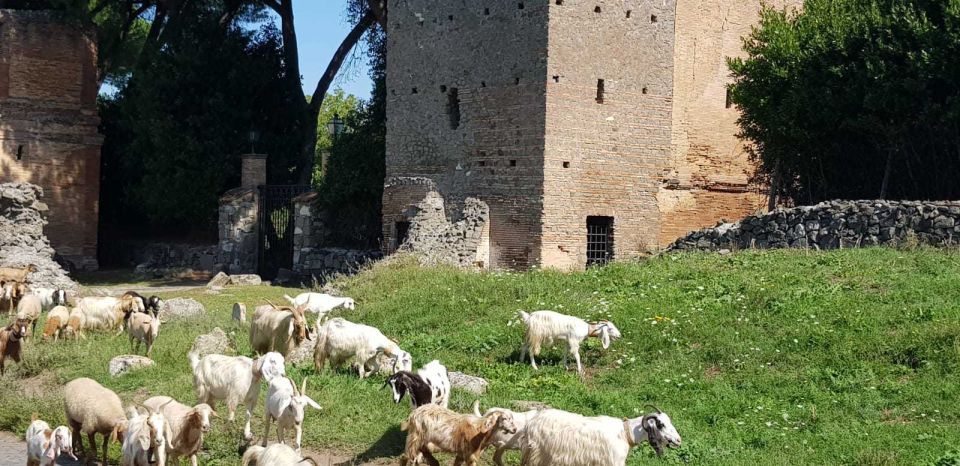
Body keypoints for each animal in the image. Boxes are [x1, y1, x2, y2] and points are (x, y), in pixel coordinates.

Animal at [516, 404, 684, 466]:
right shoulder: (615, 461)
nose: (678, 440)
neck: (625, 433)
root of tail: (532, 423)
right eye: (661, 425)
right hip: (537, 454)